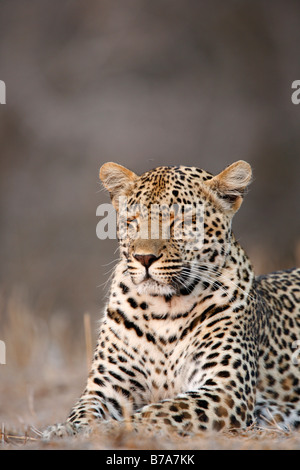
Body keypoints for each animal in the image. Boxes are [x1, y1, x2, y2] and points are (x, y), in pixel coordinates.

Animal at [42, 160, 300, 438]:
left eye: (180, 222)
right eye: (132, 221)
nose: (144, 258)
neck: (164, 309)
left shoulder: (225, 389)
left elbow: (162, 411)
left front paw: (111, 429)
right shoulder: (105, 387)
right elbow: (82, 413)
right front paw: (61, 430)